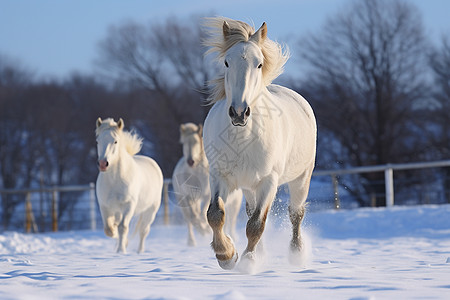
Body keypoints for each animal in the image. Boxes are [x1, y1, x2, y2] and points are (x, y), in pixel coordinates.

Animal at [95, 117, 163, 253]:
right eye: (97, 141)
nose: (103, 164)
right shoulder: (105, 206)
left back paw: (140, 251)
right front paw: (119, 242)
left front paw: (121, 250)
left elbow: (122, 227)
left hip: (151, 210)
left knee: (143, 231)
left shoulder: (129, 205)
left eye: (115, 141)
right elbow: (109, 229)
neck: (114, 180)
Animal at [203, 17, 316, 270]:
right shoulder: (218, 175)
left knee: (295, 214)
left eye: (259, 64)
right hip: (248, 186)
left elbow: (257, 225)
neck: (242, 138)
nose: (239, 112)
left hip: (301, 178)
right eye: (226, 62)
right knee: (250, 211)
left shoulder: (269, 181)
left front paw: (248, 261)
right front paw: (226, 255)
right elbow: (215, 215)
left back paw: (296, 255)